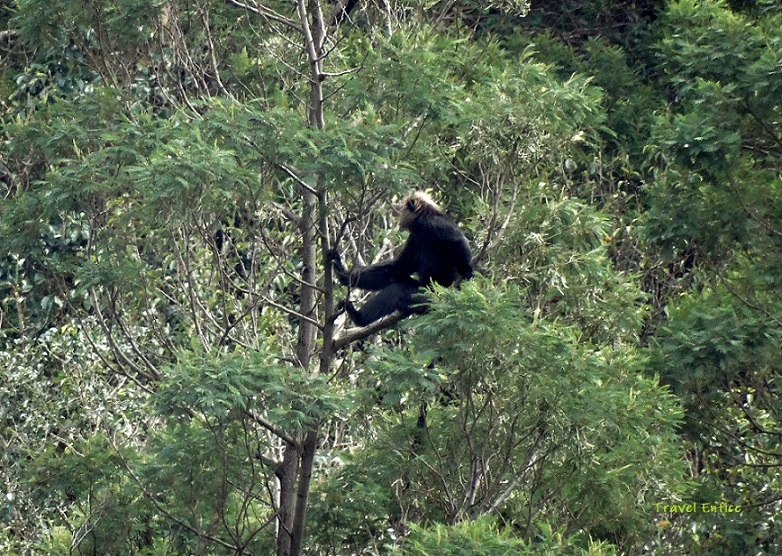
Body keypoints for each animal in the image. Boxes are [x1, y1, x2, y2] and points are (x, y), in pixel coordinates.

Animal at [330, 192, 474, 326]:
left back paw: (358, 318)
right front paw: (343, 274)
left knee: (398, 290)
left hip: (428, 295)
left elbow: (458, 241)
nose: (400, 218)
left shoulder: (434, 223)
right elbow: (399, 267)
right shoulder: (415, 237)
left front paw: (466, 272)